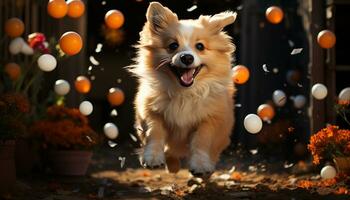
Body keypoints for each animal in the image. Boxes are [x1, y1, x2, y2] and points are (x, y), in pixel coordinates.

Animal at [130, 1, 237, 177]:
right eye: (173, 46)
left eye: (200, 46)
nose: (187, 57)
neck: (184, 93)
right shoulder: (149, 111)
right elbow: (154, 132)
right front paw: (152, 157)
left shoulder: (212, 119)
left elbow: (202, 139)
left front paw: (200, 165)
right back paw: (172, 166)